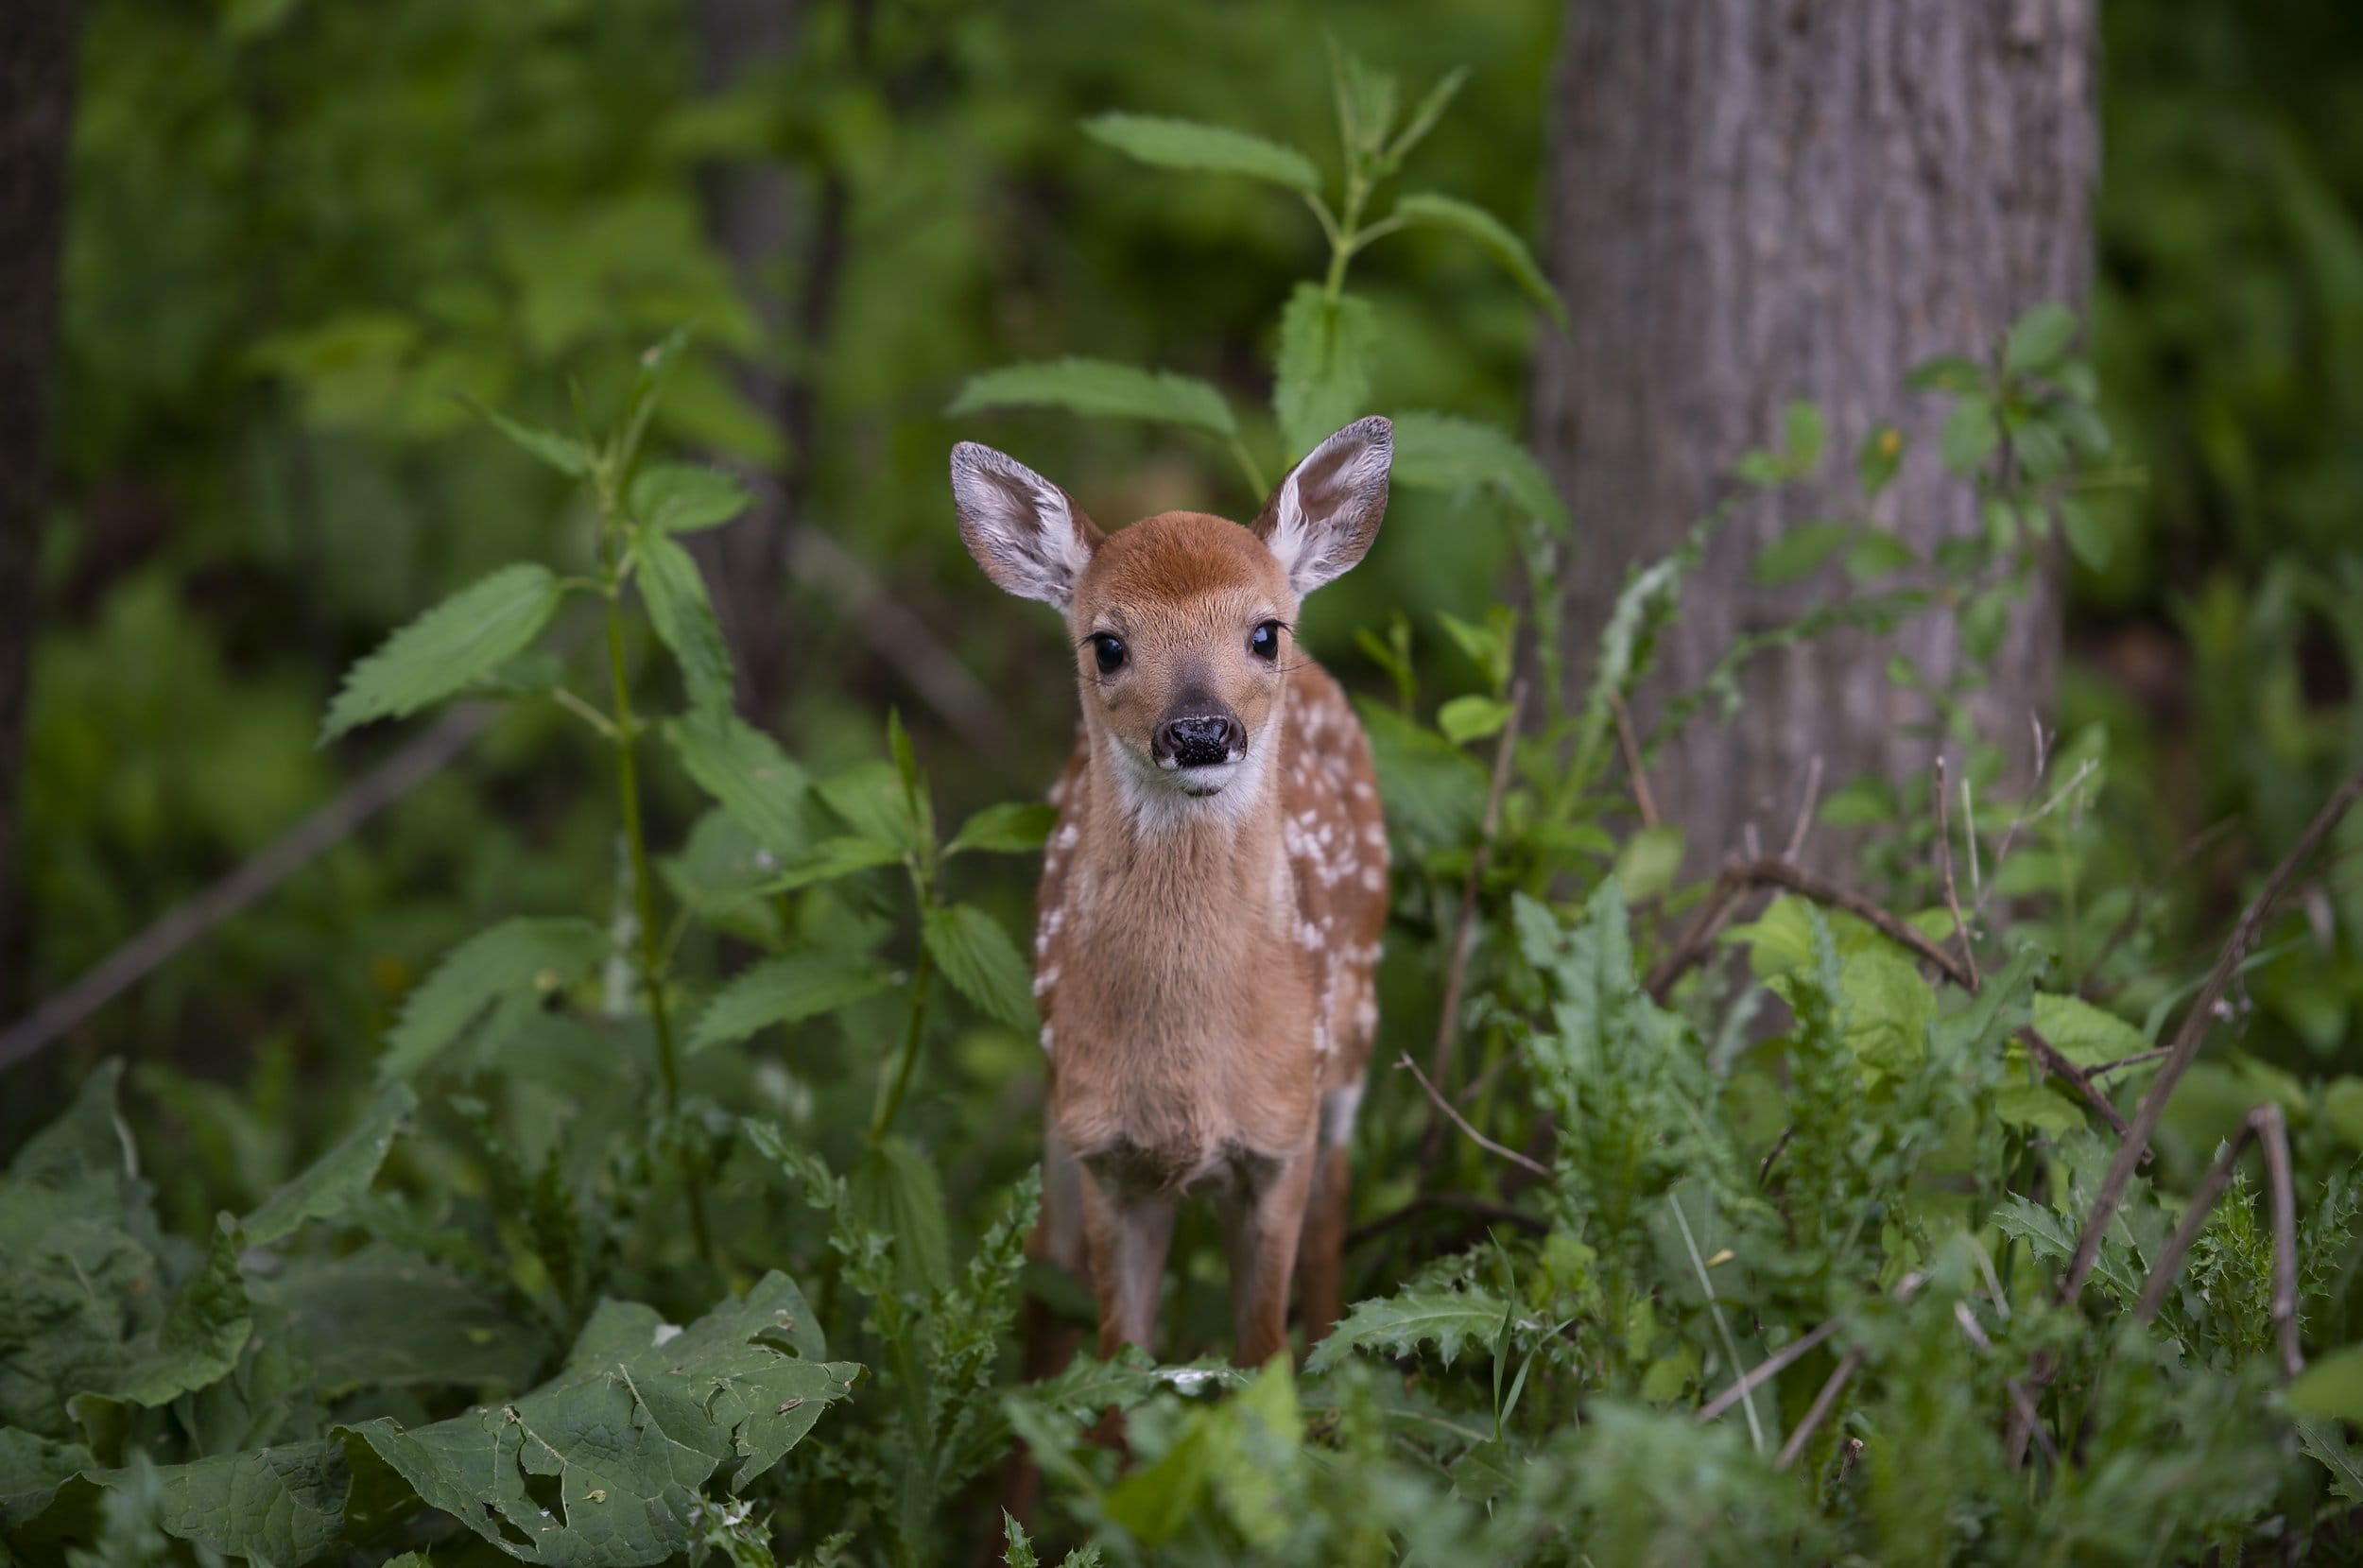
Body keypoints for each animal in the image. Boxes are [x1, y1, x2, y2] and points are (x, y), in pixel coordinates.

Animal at [948, 417, 1393, 1370]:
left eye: (1263, 632)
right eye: (1107, 643)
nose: (1199, 731)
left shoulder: (1281, 1135)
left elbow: (1263, 1350)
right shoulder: (1105, 1148)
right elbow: (1121, 1365)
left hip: (1348, 1055)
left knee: (1333, 1225)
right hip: (1056, 1107)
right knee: (1046, 1262)